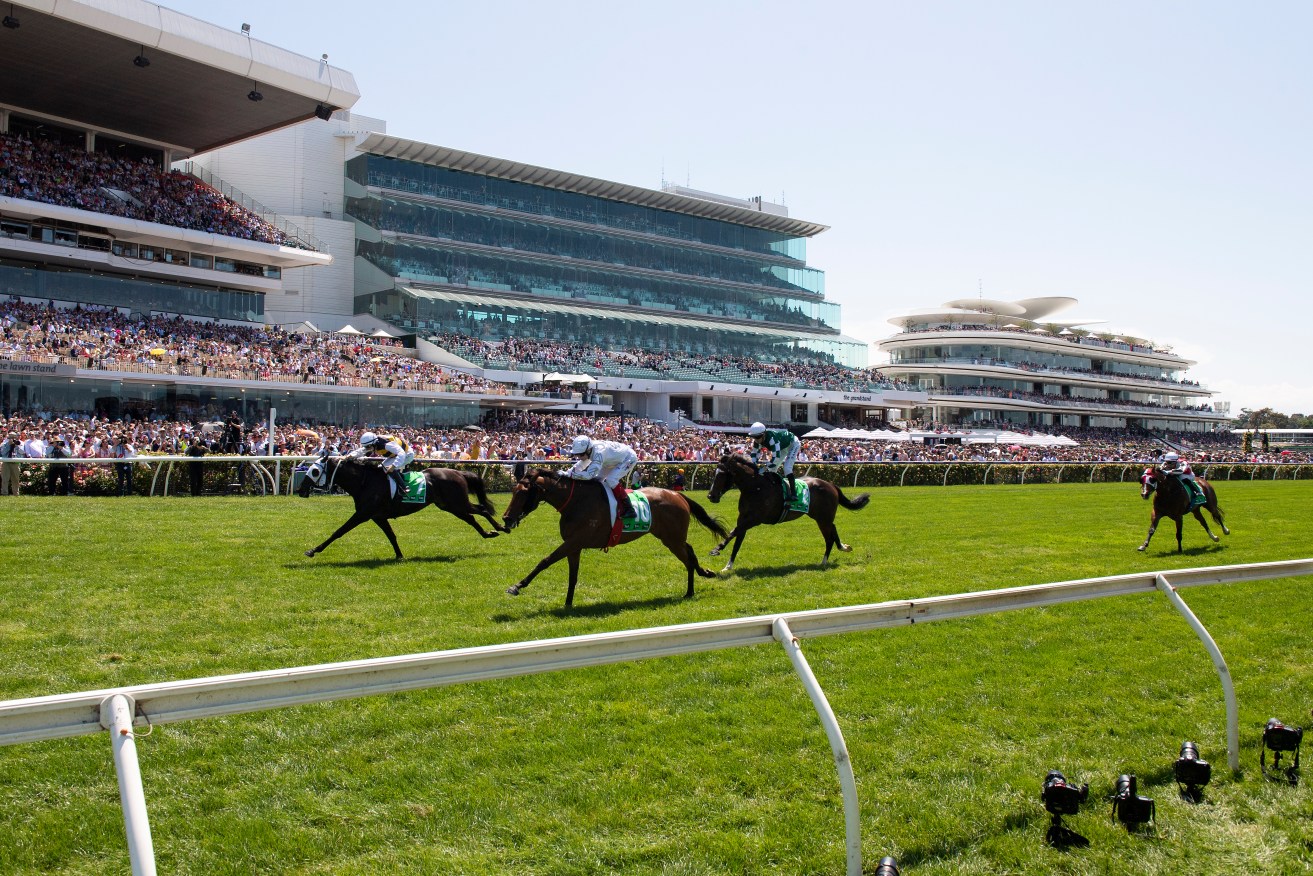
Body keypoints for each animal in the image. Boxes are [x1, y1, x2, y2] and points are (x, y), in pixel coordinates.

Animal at [296, 451, 501, 562]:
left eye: (314, 471)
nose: (300, 489)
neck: (364, 482)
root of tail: (458, 473)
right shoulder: (377, 516)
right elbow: (391, 536)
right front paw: (400, 556)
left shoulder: (363, 514)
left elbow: (338, 531)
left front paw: (313, 550)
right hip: (450, 505)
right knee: (472, 517)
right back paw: (489, 533)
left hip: (456, 503)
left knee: (481, 510)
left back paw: (500, 528)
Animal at [498, 470, 730, 606]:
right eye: (513, 490)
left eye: (522, 493)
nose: (506, 518)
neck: (576, 501)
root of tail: (678, 494)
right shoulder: (574, 545)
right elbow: (573, 576)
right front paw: (568, 604)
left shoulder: (574, 541)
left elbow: (544, 561)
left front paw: (517, 586)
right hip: (672, 537)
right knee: (690, 551)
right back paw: (702, 576)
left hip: (672, 539)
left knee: (688, 558)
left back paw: (690, 590)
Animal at [709, 451, 871, 575]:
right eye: (714, 473)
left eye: (721, 474)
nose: (711, 496)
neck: (755, 487)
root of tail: (830, 485)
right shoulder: (743, 518)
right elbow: (737, 541)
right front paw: (727, 566)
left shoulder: (754, 519)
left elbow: (732, 533)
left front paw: (716, 549)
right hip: (822, 517)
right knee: (833, 528)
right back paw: (843, 547)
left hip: (823, 518)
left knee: (829, 538)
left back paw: (824, 561)